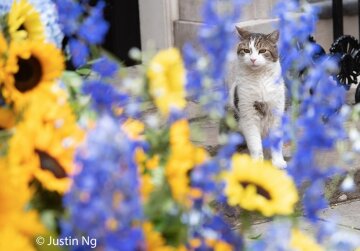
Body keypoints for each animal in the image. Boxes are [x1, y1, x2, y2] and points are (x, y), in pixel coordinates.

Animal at [231, 27, 286, 169]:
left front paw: (278, 162)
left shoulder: (276, 114)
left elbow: (276, 143)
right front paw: (257, 167)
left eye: (262, 51)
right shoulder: (248, 116)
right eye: (246, 50)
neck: (259, 77)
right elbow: (255, 144)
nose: (253, 59)